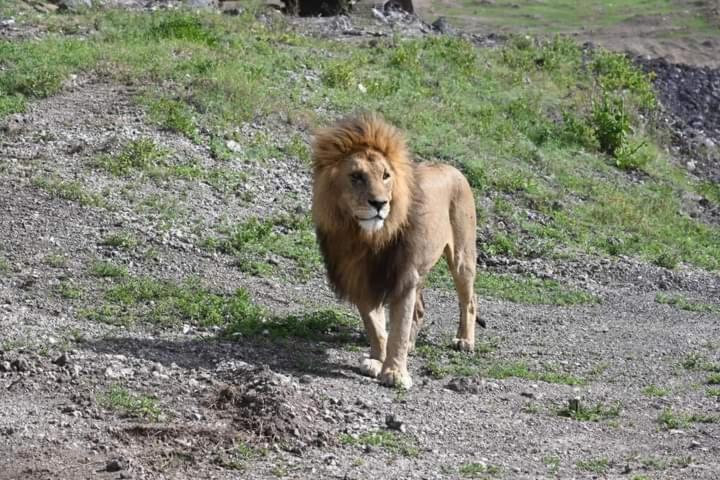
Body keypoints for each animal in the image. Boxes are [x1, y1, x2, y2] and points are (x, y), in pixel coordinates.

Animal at [310, 113, 484, 390]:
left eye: (385, 175)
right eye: (356, 176)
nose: (380, 204)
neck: (365, 238)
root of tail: (452, 168)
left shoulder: (404, 277)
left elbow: (398, 330)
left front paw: (395, 373)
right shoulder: (360, 277)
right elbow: (376, 327)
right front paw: (377, 361)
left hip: (462, 257)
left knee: (469, 300)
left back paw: (464, 341)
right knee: (420, 309)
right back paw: (414, 345)